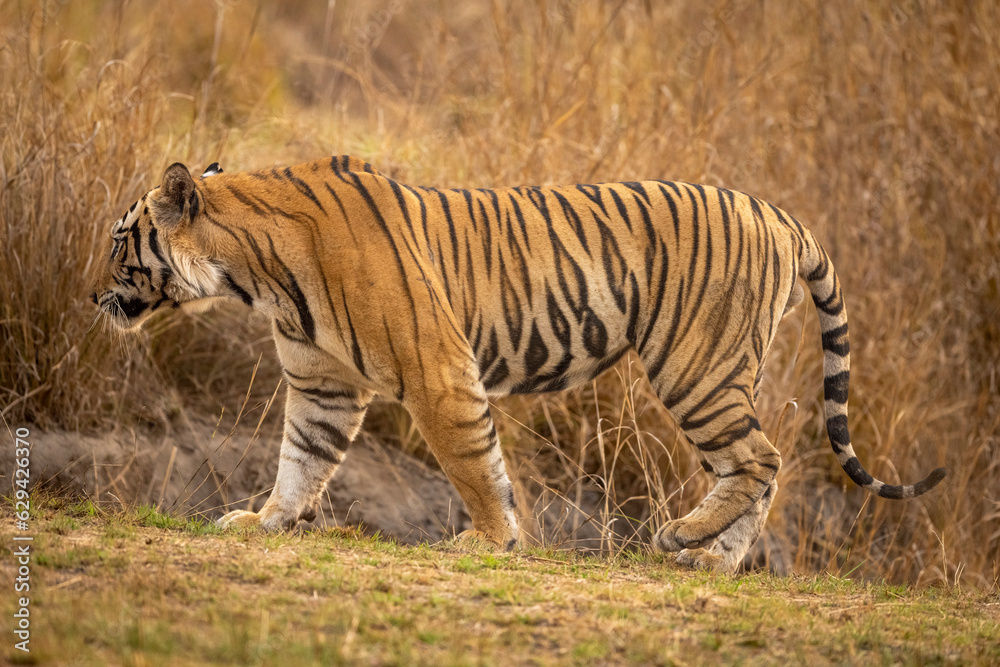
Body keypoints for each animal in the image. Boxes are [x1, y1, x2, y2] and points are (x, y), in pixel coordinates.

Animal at [90, 155, 946, 572]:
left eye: (119, 241)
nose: (93, 295)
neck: (254, 272)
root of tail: (778, 212)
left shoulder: (436, 370)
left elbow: (472, 461)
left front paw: (492, 540)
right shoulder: (323, 384)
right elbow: (302, 460)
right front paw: (263, 519)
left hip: (696, 365)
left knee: (762, 458)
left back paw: (687, 538)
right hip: (719, 369)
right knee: (759, 466)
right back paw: (714, 559)